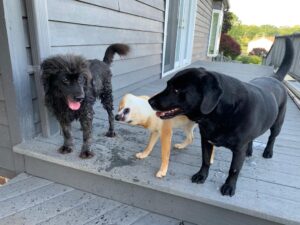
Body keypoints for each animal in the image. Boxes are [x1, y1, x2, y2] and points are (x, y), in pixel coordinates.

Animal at [149, 37, 294, 196]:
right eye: (167, 84)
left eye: (176, 90)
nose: (150, 101)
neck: (221, 114)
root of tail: (274, 78)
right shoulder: (206, 140)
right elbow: (205, 160)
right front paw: (202, 175)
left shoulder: (238, 150)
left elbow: (234, 170)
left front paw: (229, 186)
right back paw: (250, 151)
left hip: (277, 124)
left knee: (272, 137)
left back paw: (268, 151)